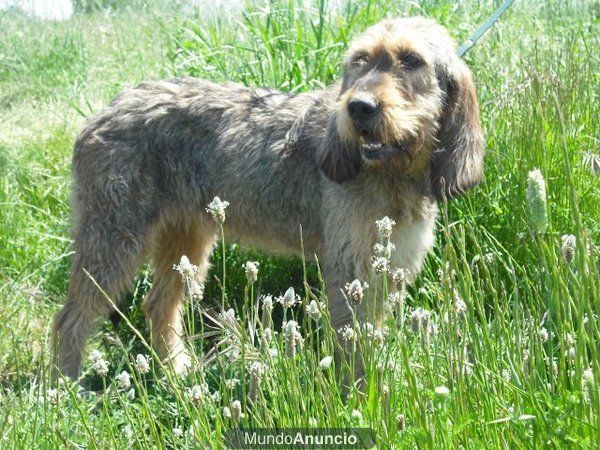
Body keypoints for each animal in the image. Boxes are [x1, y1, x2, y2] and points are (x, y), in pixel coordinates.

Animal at [51, 15, 482, 378]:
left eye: (412, 61)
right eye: (360, 60)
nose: (359, 107)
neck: (395, 170)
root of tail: (104, 111)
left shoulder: (388, 265)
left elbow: (371, 334)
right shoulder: (351, 267)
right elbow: (352, 341)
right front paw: (359, 396)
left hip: (187, 240)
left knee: (158, 304)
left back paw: (176, 372)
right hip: (113, 240)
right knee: (70, 317)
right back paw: (65, 388)